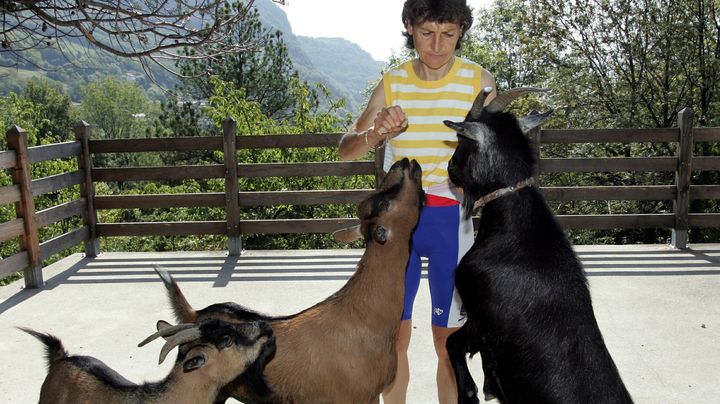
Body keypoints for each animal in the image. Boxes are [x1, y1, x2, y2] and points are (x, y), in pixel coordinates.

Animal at [442, 88, 632, 404]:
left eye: (461, 139)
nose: (451, 169)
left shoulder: (480, 318)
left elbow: (453, 343)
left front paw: (469, 392)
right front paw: (489, 387)